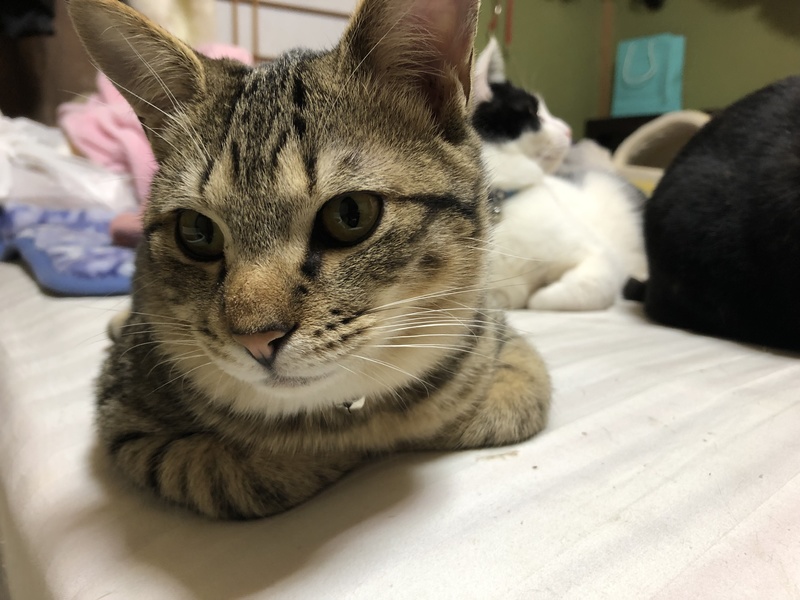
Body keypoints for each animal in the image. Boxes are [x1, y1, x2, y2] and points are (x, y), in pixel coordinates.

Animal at [68, 0, 551, 519]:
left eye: (351, 213)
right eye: (196, 231)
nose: (257, 339)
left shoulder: (502, 346)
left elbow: (509, 403)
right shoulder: (128, 421)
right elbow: (243, 472)